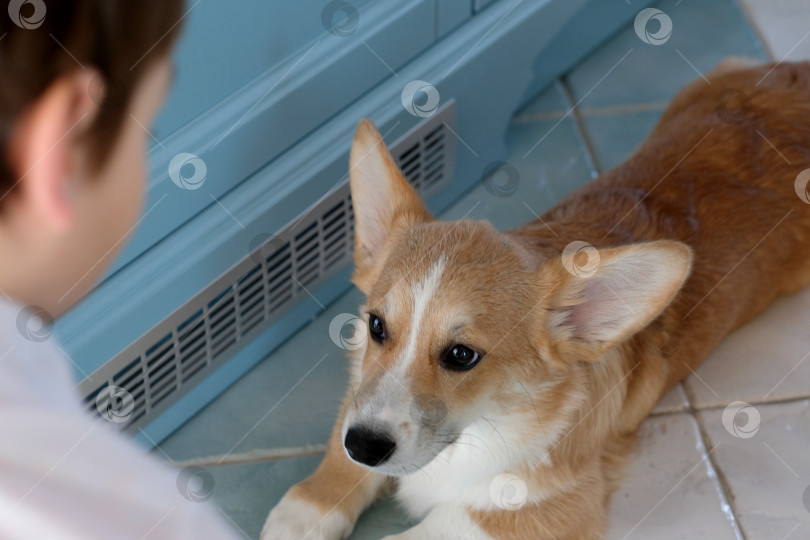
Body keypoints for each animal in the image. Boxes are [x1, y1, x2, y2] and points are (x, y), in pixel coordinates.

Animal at [262, 60, 808, 540]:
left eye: (462, 355)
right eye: (377, 326)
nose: (365, 446)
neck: (476, 434)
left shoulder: (540, 511)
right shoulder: (360, 396)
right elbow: (338, 453)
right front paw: (305, 511)